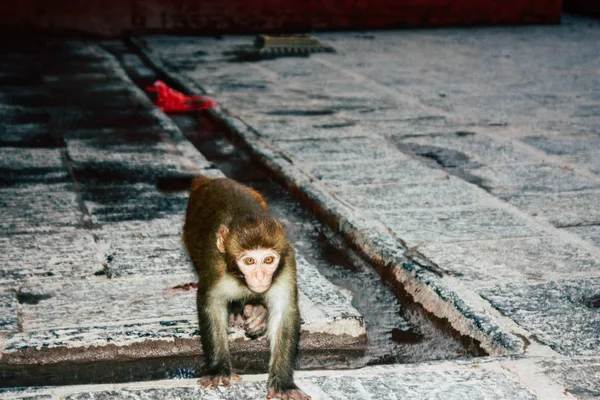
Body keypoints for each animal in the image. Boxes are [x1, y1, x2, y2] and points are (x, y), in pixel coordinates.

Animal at [182, 176, 310, 400]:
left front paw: (283, 383)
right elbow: (211, 306)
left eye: (268, 260)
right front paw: (218, 368)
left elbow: (284, 314)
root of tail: (212, 180)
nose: (260, 277)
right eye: (249, 261)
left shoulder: (287, 262)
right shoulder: (215, 265)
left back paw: (258, 313)